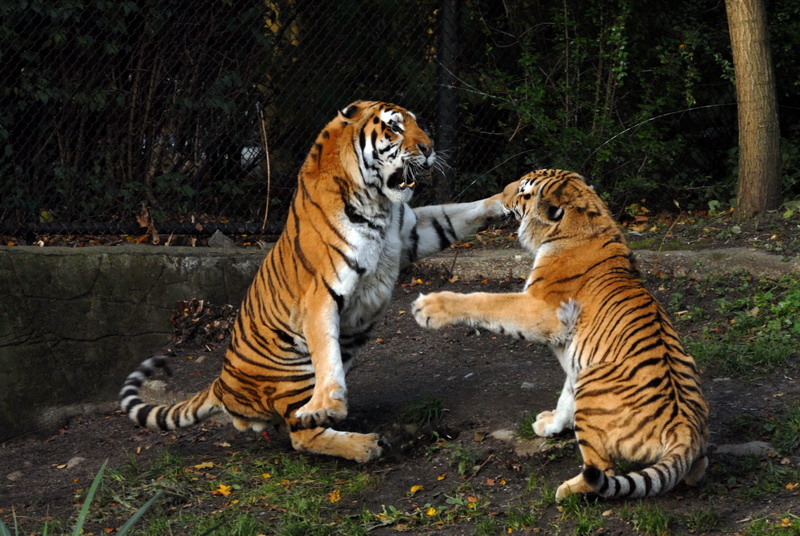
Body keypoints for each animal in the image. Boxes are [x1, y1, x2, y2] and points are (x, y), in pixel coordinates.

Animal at [119, 101, 506, 462]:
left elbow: (457, 213)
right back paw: (362, 443)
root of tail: (221, 384)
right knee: (301, 435)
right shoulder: (321, 292)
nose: (429, 148)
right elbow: (326, 352)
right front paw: (327, 405)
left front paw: (505, 199)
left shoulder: (413, 232)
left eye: (417, 124)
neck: (379, 202)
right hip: (293, 371)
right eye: (395, 128)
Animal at [412, 169, 709, 499]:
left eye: (524, 192)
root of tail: (685, 430)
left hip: (593, 387)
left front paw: (429, 307)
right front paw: (550, 424)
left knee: (602, 471)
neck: (586, 220)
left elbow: (485, 301)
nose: (502, 194)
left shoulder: (539, 309)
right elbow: (566, 394)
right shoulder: (573, 355)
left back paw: (567, 491)